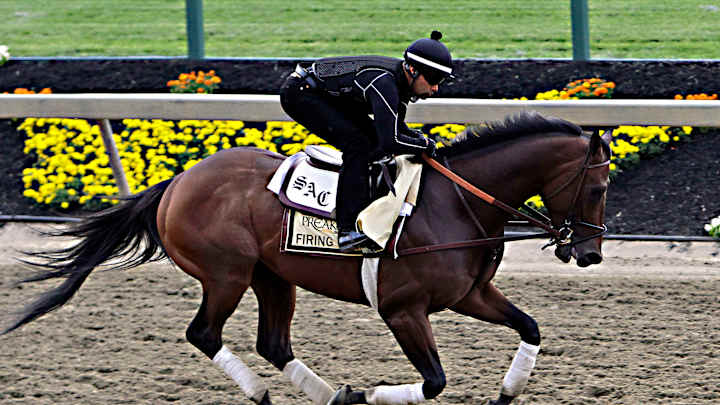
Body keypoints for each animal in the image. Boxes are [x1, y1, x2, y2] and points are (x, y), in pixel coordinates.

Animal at [2, 111, 611, 405]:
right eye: (598, 188)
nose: (588, 253)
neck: (455, 205)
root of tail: (177, 181)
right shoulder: (404, 310)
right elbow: (434, 381)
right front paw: (367, 394)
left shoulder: (471, 294)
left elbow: (530, 328)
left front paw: (506, 394)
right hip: (226, 274)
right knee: (204, 334)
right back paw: (270, 395)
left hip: (274, 277)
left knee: (273, 343)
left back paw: (329, 395)